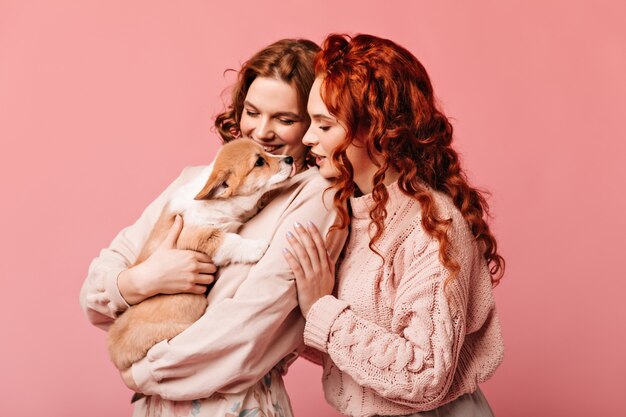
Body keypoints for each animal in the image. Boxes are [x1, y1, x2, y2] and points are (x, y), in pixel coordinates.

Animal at [106, 140, 294, 370]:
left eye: (266, 151)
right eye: (259, 162)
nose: (290, 159)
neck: (220, 203)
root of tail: (116, 356)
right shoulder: (198, 235)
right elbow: (230, 240)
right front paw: (256, 247)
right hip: (191, 301)